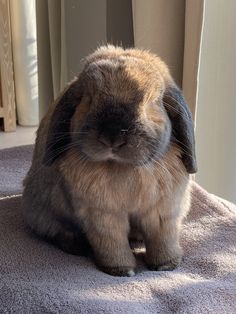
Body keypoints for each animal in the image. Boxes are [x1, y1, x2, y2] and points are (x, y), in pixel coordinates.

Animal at [22, 45, 196, 276]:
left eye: (150, 101)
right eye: (88, 98)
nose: (112, 136)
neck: (122, 167)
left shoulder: (163, 212)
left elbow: (162, 238)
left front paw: (166, 265)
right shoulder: (102, 214)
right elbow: (112, 243)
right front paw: (122, 270)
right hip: (42, 210)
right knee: (54, 230)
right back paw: (77, 246)